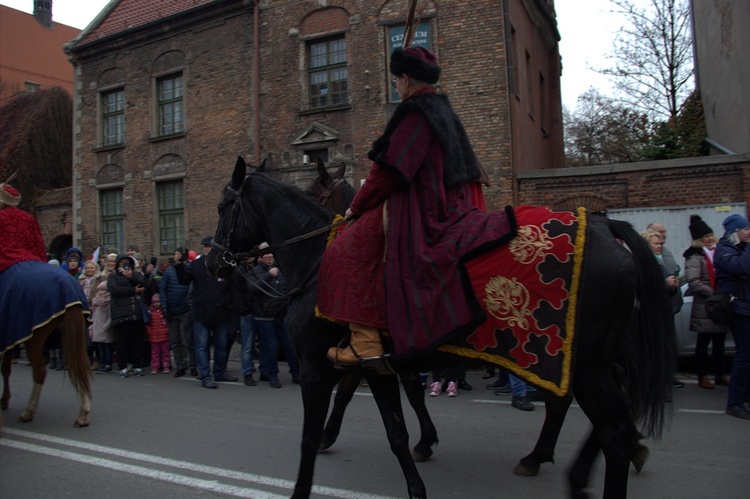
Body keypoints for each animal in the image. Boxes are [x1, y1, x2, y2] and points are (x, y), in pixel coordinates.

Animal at [209, 159, 680, 499]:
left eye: (222, 207)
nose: (213, 260)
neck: (318, 261)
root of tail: (603, 225)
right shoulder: (376, 363)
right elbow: (396, 426)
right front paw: (419, 454)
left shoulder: (317, 365)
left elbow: (315, 432)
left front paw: (319, 454)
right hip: (581, 361)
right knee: (598, 413)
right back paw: (560, 460)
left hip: (579, 363)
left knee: (607, 427)